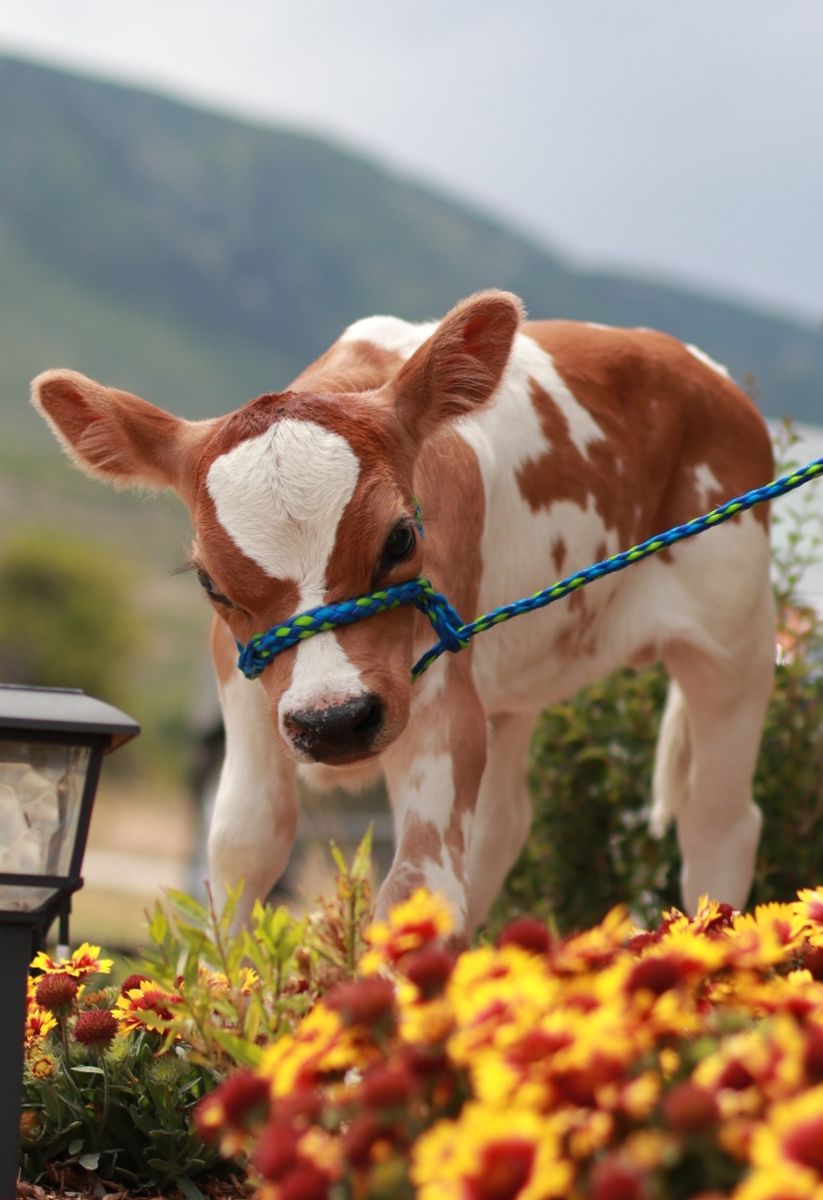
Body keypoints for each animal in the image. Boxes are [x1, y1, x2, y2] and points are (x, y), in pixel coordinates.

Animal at [32, 291, 776, 939]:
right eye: (210, 580)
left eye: (399, 539)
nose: (333, 720)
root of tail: (706, 374)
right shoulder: (244, 683)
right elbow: (243, 846)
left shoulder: (440, 689)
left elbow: (418, 882)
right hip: (511, 689)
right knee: (502, 827)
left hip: (732, 646)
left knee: (720, 823)